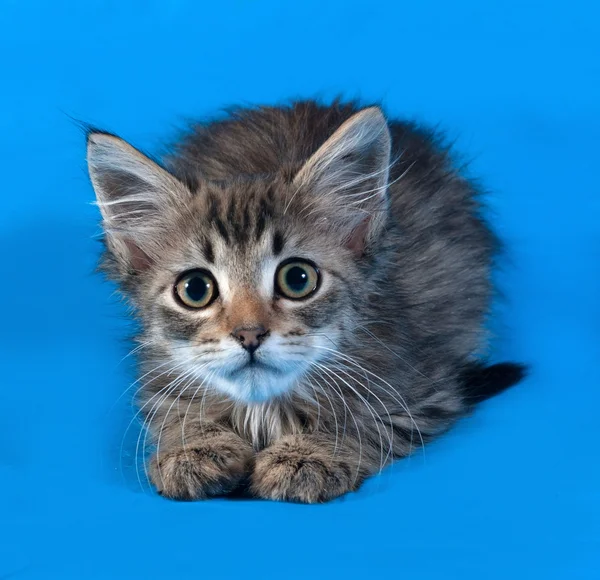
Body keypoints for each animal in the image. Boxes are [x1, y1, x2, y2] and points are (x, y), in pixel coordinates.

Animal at [88, 99, 524, 502]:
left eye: (298, 279)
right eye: (196, 289)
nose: (249, 335)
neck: (264, 408)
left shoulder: (424, 392)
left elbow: (361, 420)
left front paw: (307, 456)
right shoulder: (158, 379)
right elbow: (176, 412)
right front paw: (195, 449)